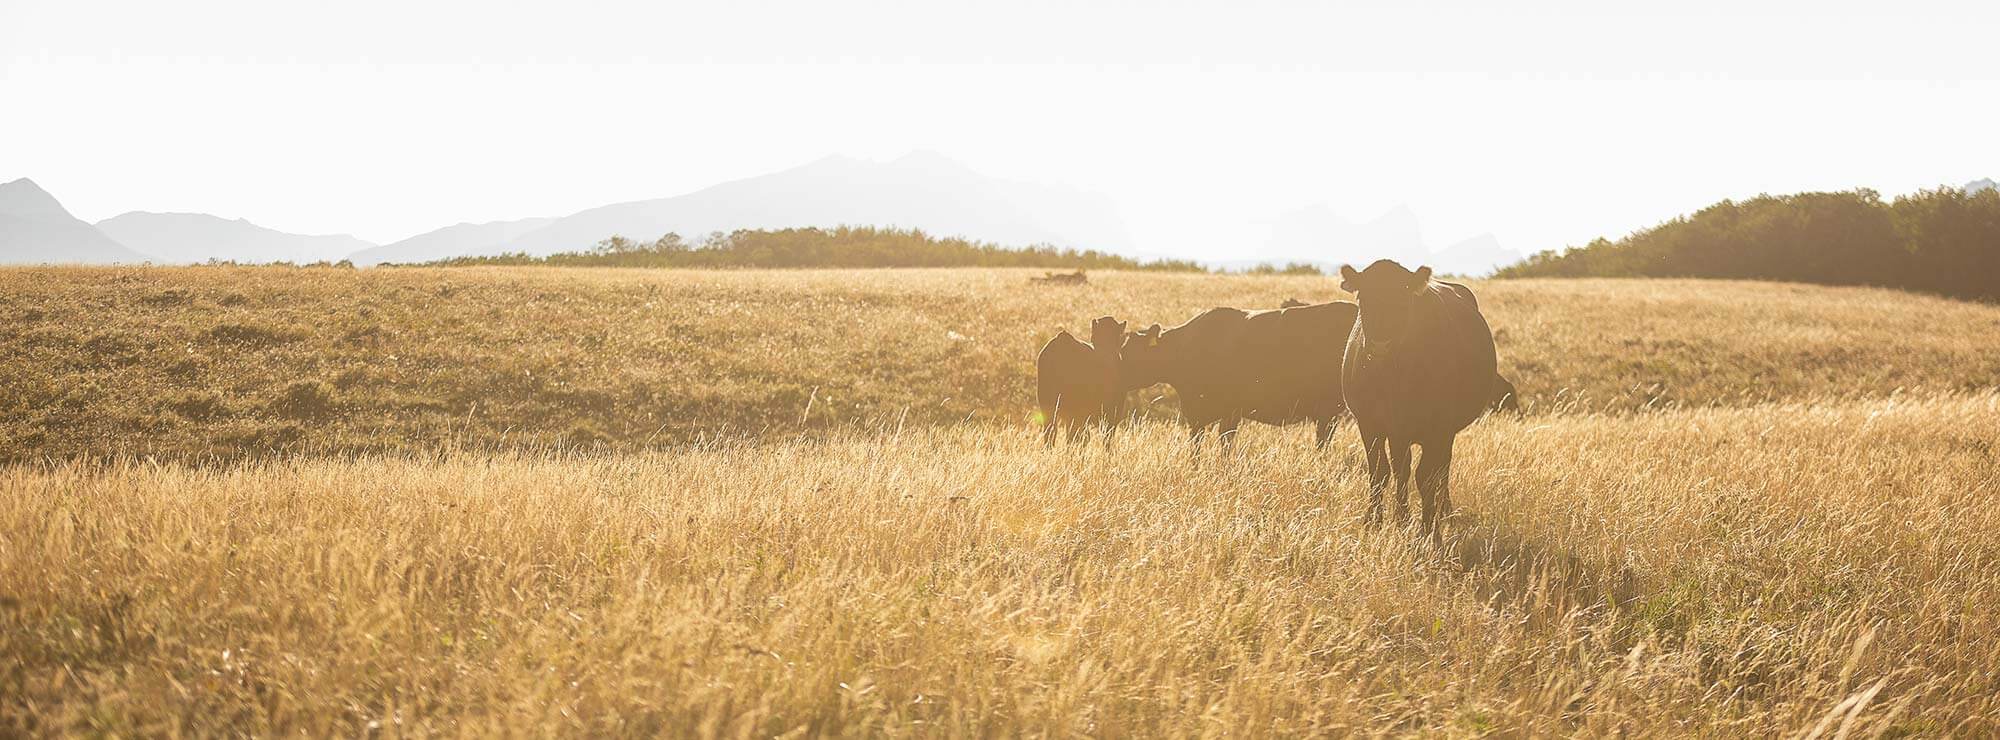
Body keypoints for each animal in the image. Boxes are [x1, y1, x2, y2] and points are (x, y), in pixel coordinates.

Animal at [1336, 260, 1496, 536]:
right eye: (1363, 297)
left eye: (1404, 299)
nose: (1381, 345)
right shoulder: (1369, 423)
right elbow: (1379, 471)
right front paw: (1376, 520)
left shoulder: (1438, 428)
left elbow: (1426, 476)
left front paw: (1429, 529)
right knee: (1402, 468)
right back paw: (1404, 516)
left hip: (1441, 433)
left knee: (1441, 468)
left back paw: (1443, 511)